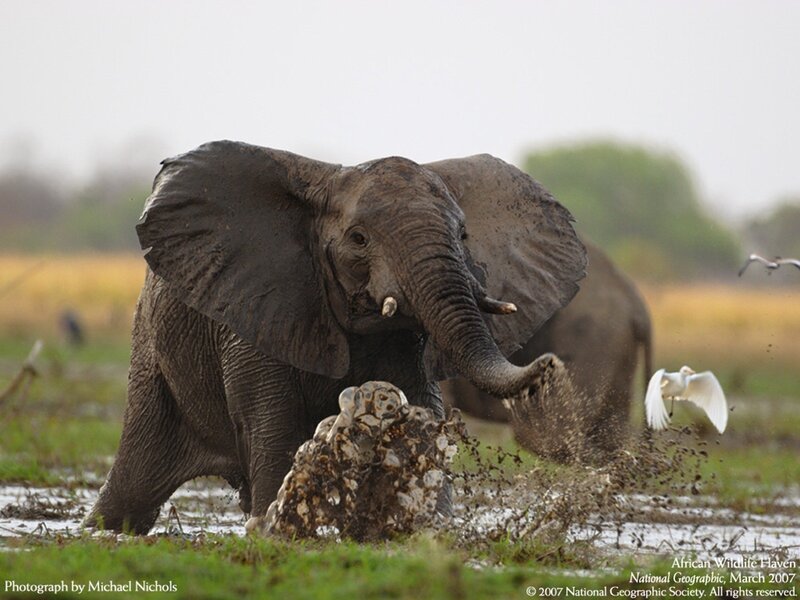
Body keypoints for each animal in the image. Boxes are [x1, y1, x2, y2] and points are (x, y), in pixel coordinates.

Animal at [83, 140, 586, 534]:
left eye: (463, 235)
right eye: (359, 239)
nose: (551, 366)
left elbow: (422, 413)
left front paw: (427, 525)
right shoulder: (257, 306)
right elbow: (274, 420)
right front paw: (274, 526)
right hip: (151, 354)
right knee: (133, 484)